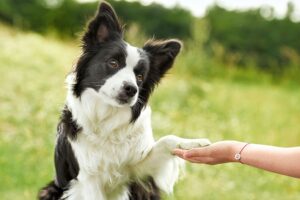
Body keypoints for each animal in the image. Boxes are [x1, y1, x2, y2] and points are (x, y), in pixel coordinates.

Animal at [38, 1, 210, 200]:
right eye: (113, 63)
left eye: (140, 77)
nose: (131, 89)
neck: (107, 117)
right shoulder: (87, 179)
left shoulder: (137, 170)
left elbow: (168, 139)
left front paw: (194, 144)